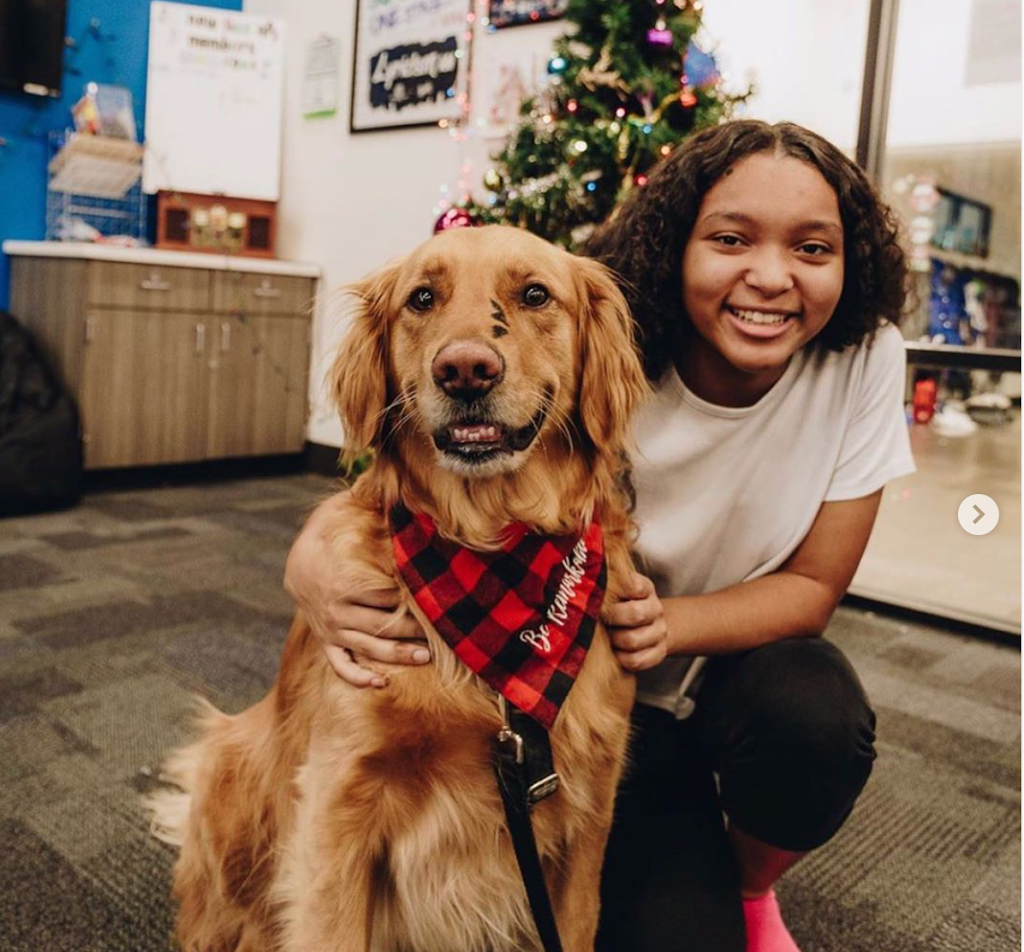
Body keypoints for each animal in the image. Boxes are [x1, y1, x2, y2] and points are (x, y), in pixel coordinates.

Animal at [149, 226, 647, 949]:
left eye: (535, 295)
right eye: (422, 298)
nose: (465, 369)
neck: (490, 555)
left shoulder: (588, 812)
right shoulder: (339, 803)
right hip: (231, 776)